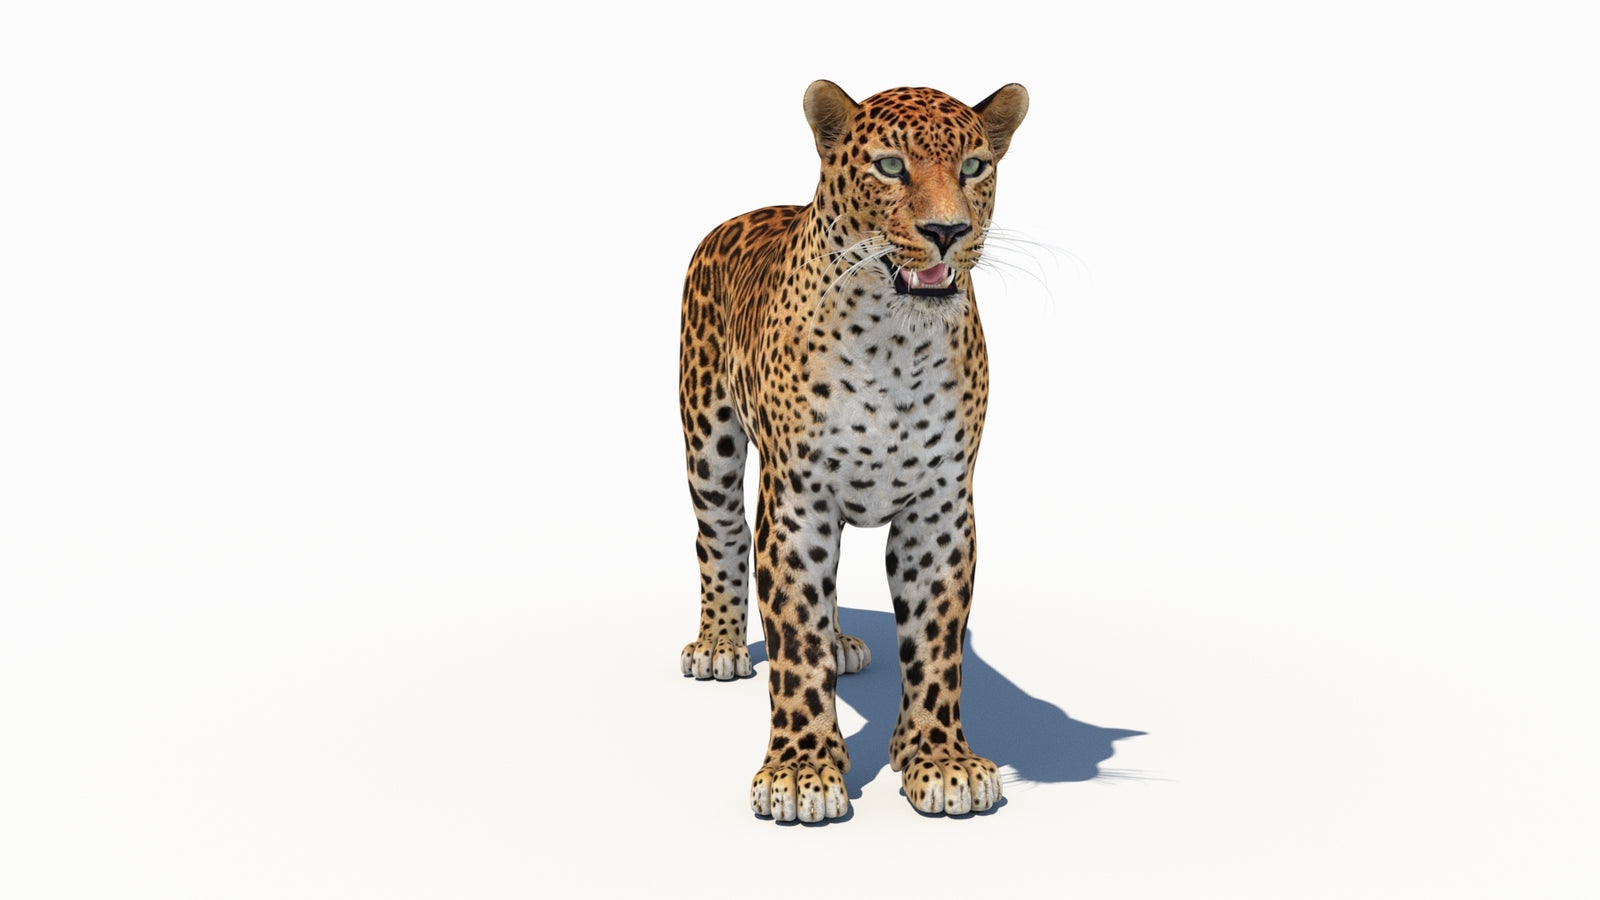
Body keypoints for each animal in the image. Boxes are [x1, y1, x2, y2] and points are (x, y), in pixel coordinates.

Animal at [677, 80, 1029, 823]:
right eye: (890, 167)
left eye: (974, 168)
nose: (948, 232)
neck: (897, 344)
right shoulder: (797, 503)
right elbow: (794, 640)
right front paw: (800, 770)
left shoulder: (940, 508)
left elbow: (936, 643)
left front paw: (939, 761)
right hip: (708, 443)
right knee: (720, 538)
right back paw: (719, 643)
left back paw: (840, 642)